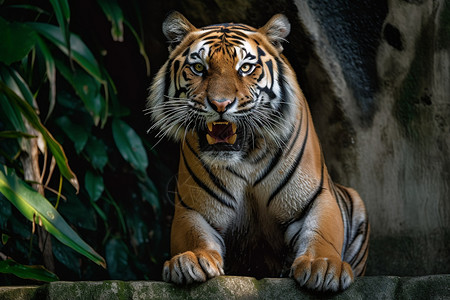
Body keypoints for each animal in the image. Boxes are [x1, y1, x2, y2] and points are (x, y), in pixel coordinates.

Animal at [148, 12, 370, 292]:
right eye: (199, 68)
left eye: (245, 68)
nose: (220, 104)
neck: (247, 156)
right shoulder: (192, 208)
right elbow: (193, 235)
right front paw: (191, 260)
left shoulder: (317, 197)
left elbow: (322, 233)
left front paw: (323, 265)